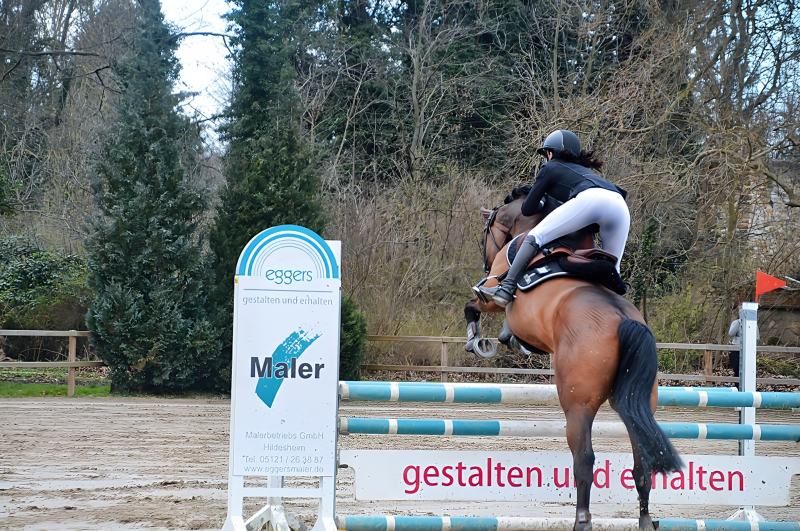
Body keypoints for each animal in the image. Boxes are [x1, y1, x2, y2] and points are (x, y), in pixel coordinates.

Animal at [462, 190, 680, 531]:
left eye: (486, 232)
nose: (485, 264)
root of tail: (622, 320)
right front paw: (506, 339)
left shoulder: (494, 295)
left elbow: (476, 305)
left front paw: (477, 340)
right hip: (641, 401)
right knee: (642, 461)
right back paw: (645, 520)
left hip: (578, 405)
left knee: (584, 460)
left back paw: (582, 520)